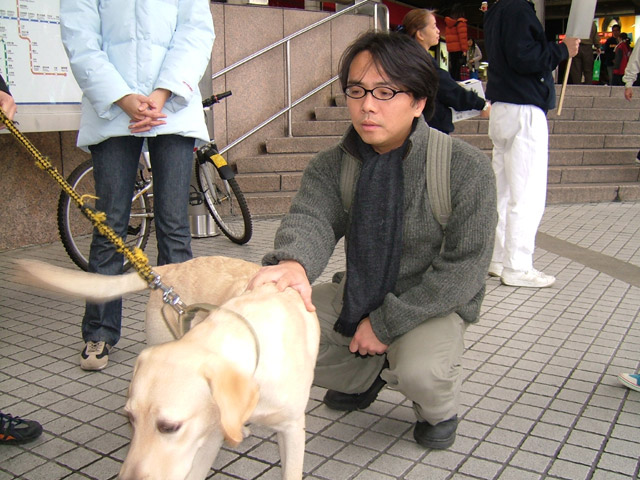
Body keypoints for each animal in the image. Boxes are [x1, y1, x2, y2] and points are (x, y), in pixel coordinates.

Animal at [16, 256, 320, 480]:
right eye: (130, 418)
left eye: (169, 427)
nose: (128, 479)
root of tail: (168, 267)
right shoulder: (205, 437)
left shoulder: (292, 429)